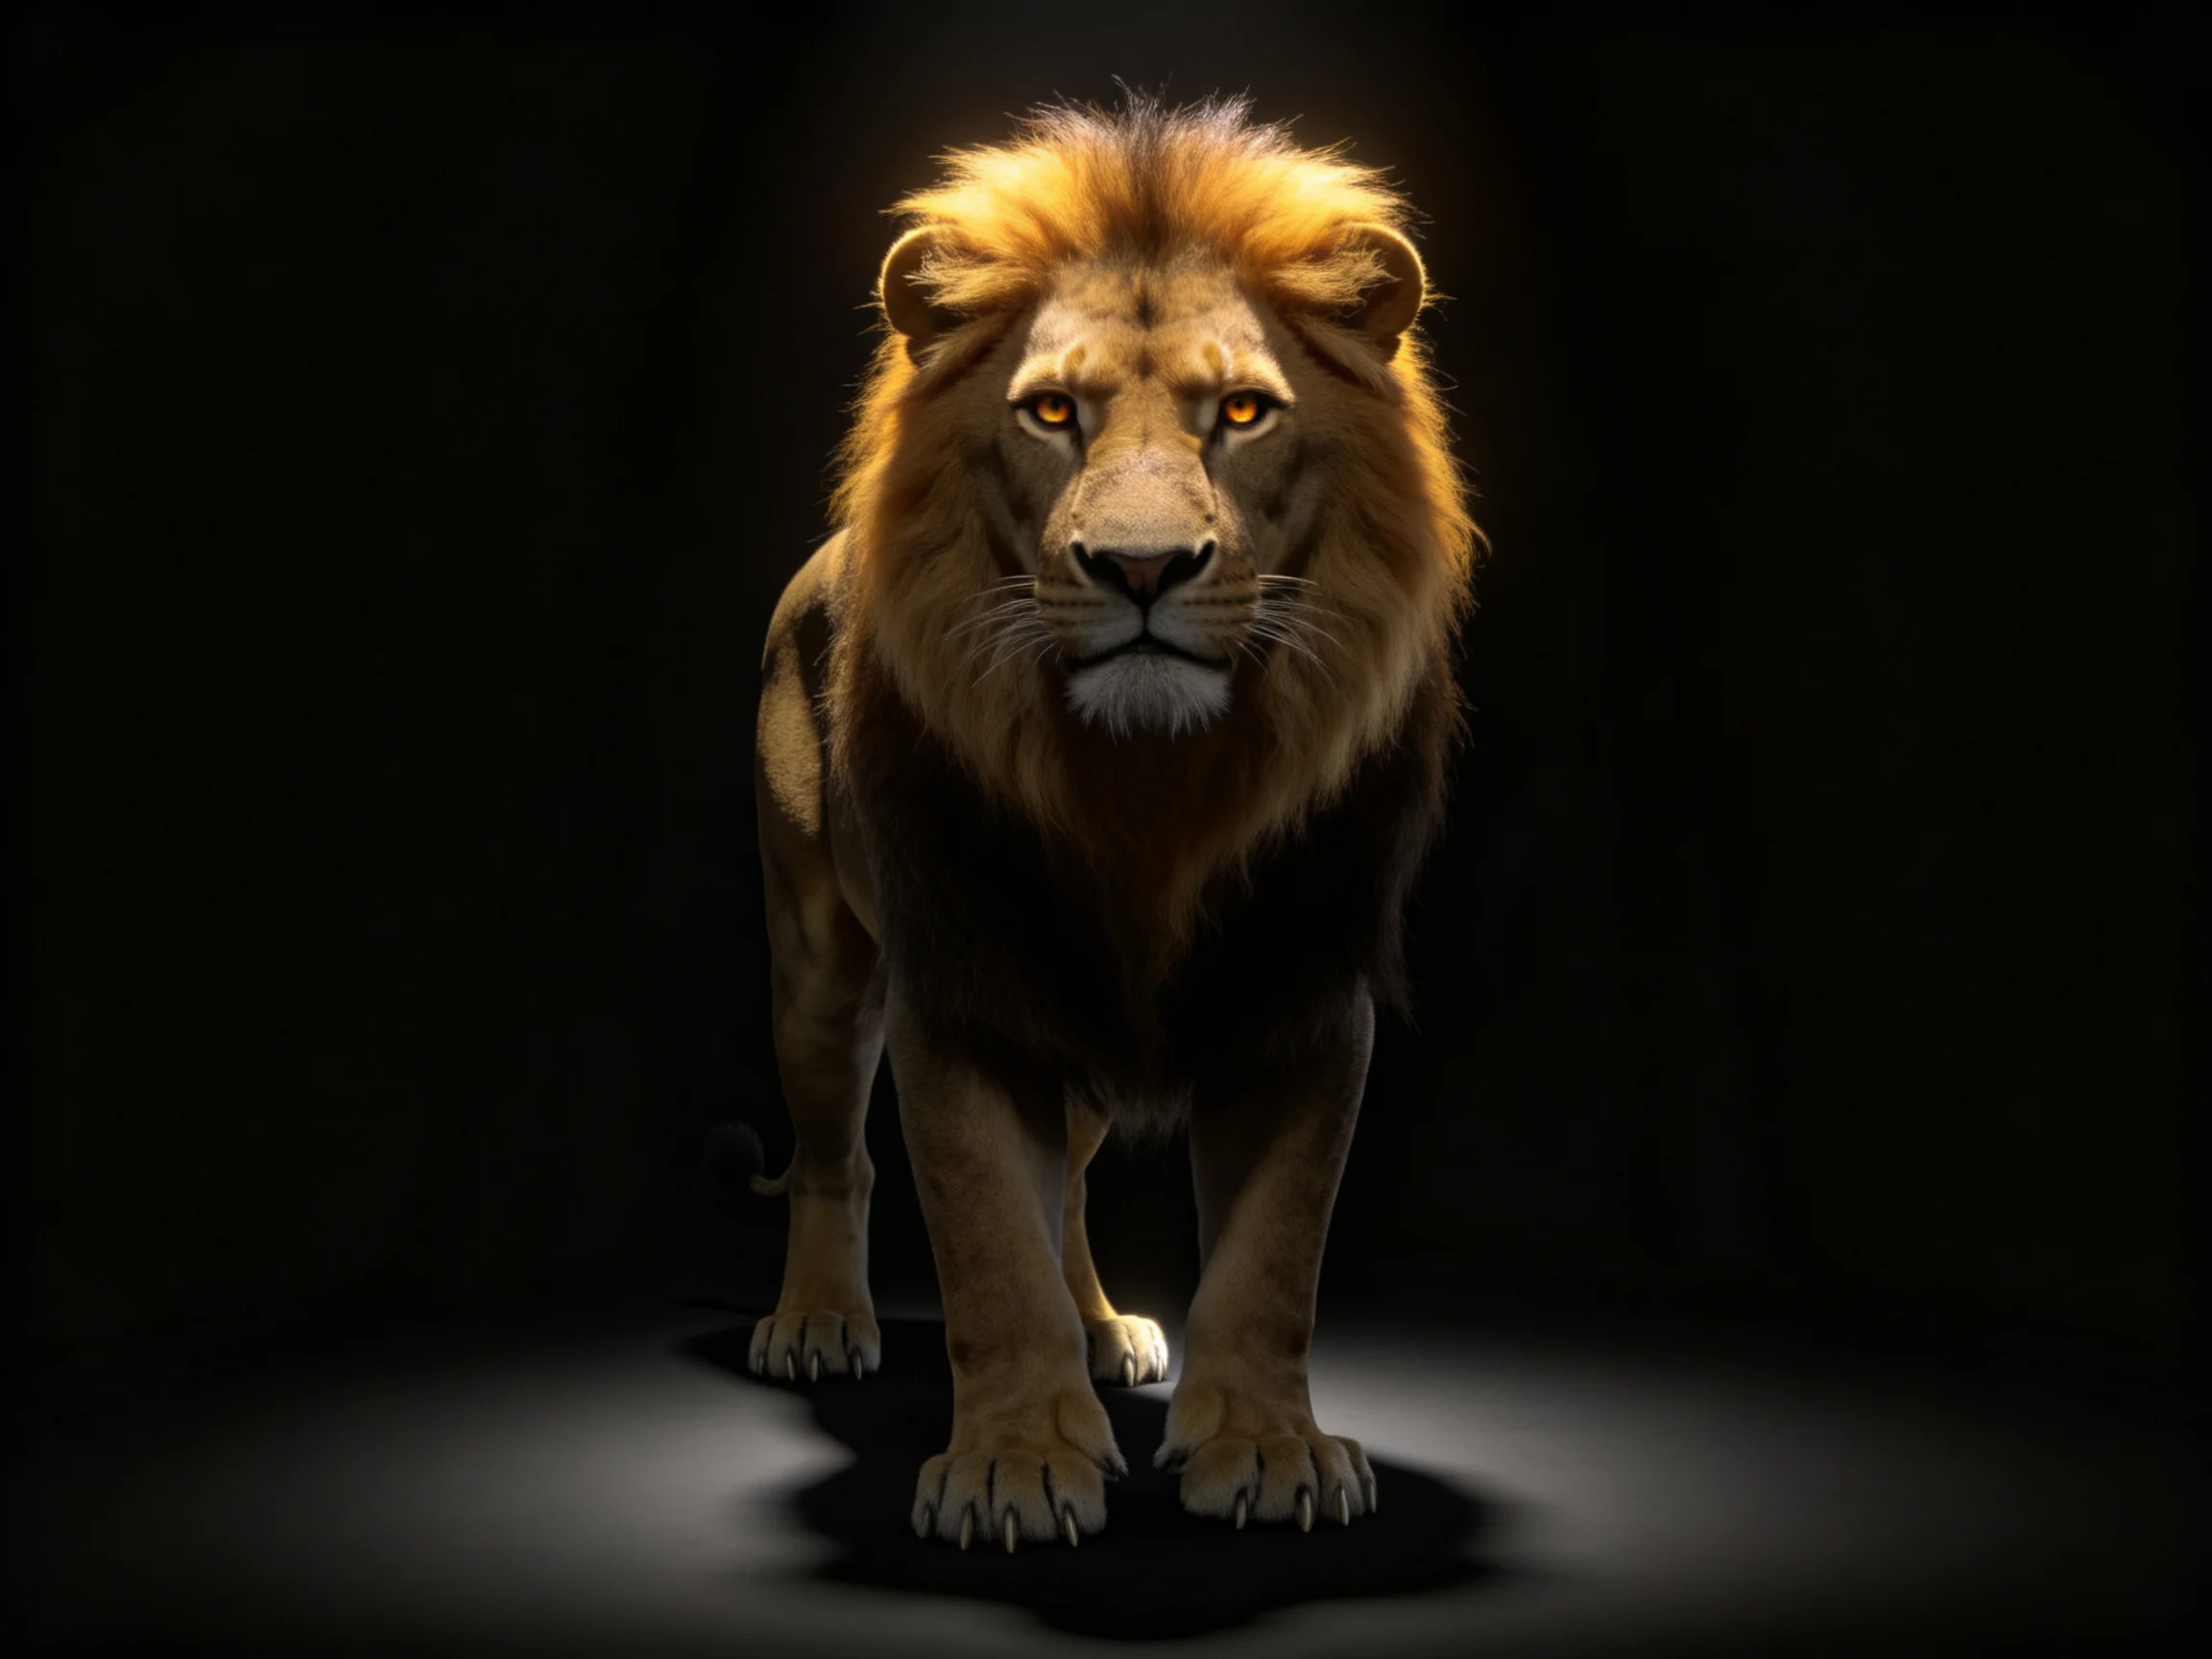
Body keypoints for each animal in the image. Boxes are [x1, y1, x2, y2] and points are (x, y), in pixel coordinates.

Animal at [748, 94, 1476, 1550]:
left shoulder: (1305, 990)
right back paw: (819, 1322)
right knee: (830, 1157)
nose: (1141, 570)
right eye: (1050, 413)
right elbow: (986, 1245)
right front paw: (1015, 1462)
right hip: (818, 966)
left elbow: (1273, 1252)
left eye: (1242, 412)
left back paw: (1104, 1331)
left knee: (1077, 1185)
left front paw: (1268, 1445)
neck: (1146, 790)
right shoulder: (963, 992)